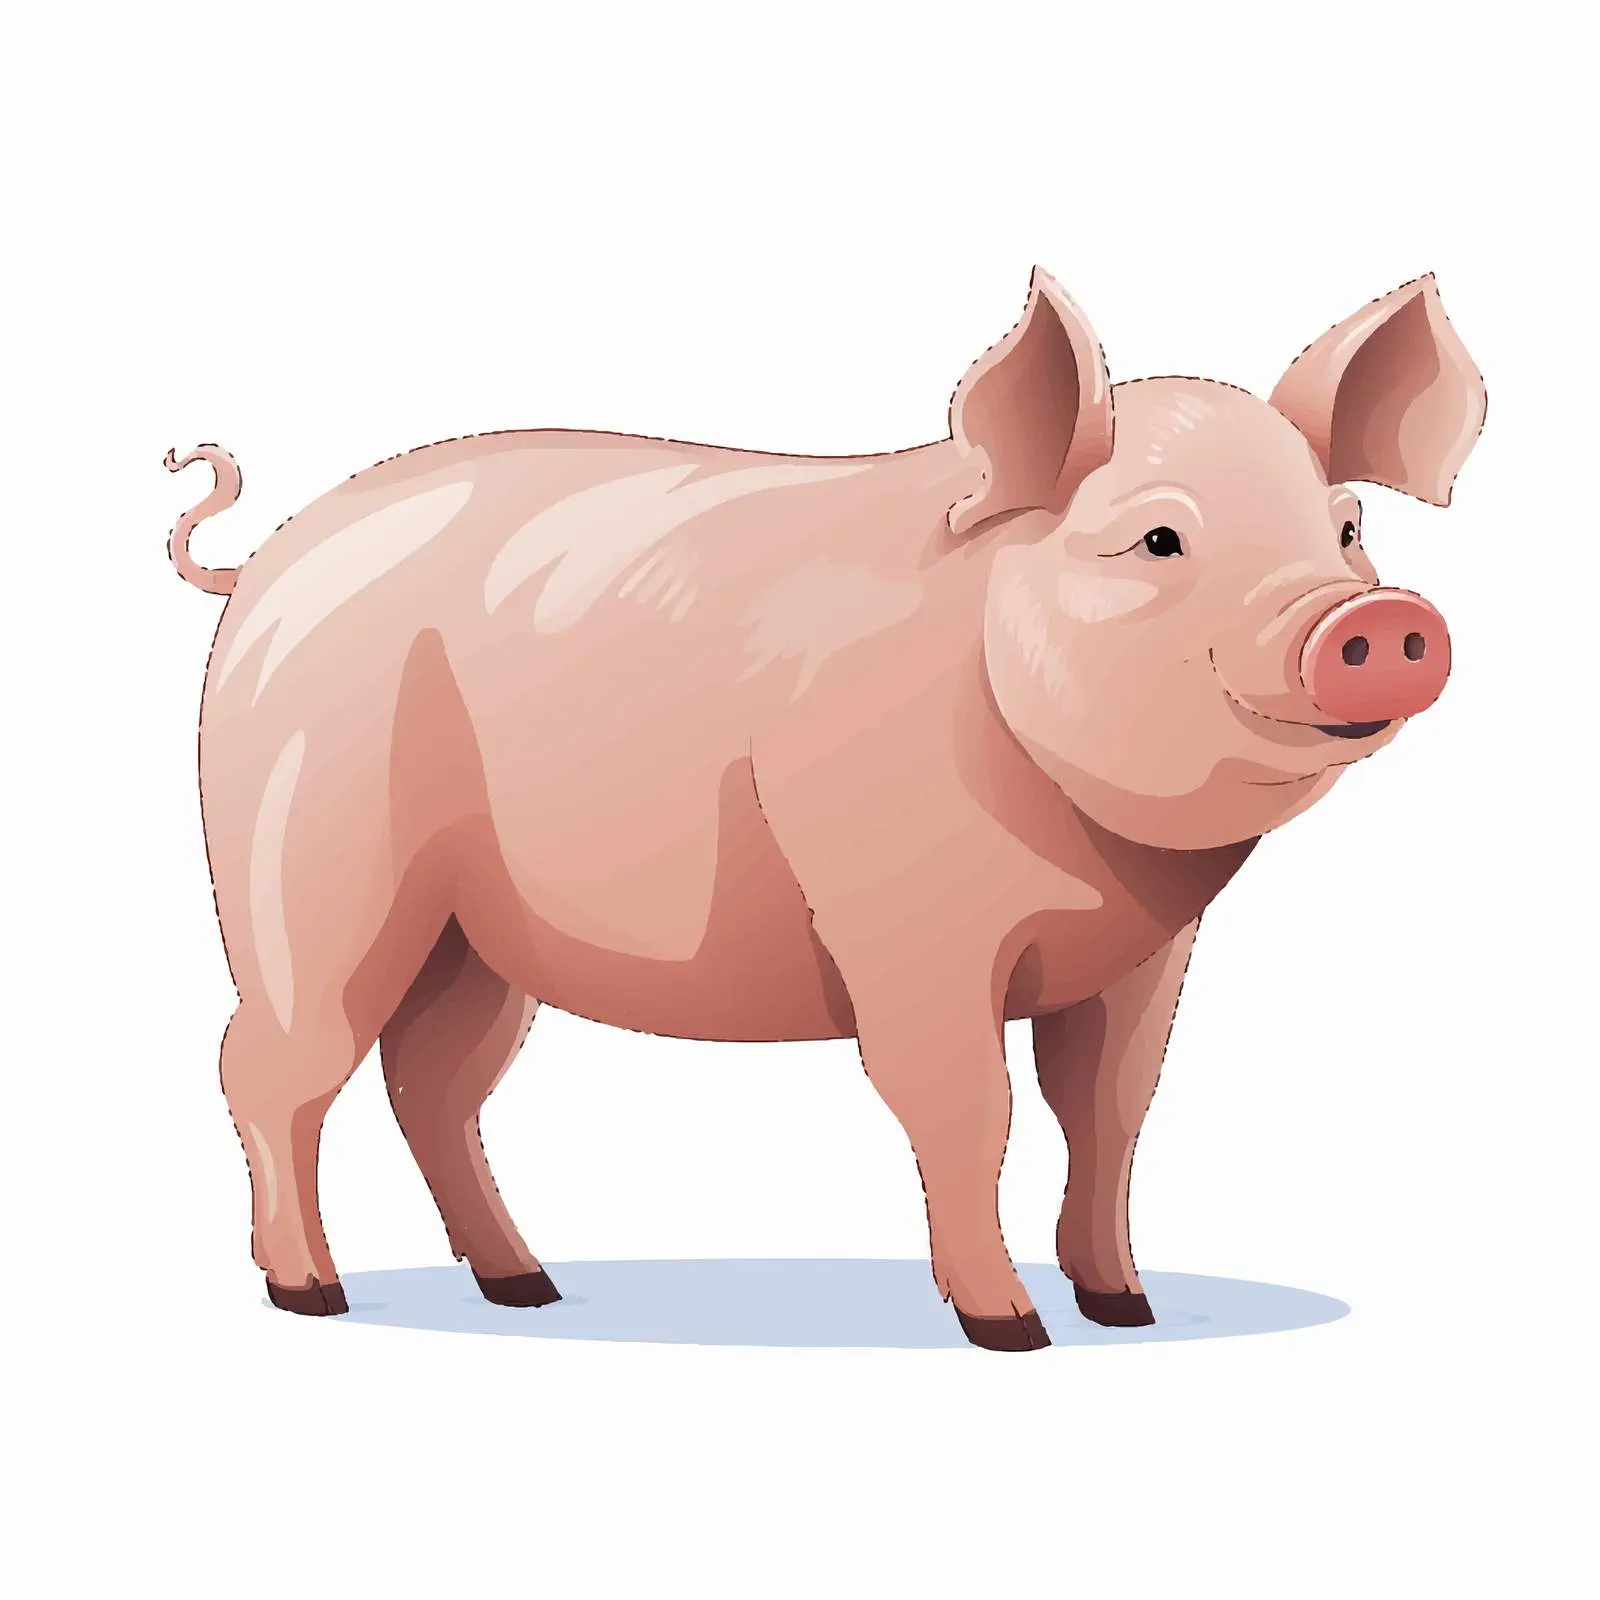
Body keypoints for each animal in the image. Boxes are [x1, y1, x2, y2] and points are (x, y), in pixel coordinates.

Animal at [166, 269, 1485, 1350]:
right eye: (1159, 539)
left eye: (1346, 530)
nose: (1374, 619)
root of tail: (259, 565)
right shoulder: (903, 931)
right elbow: (971, 1108)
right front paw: (1010, 1330)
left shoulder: (1145, 956)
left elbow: (1109, 1112)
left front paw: (1126, 1308)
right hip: (308, 857)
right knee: (269, 1062)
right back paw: (314, 1294)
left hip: (477, 935)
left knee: (432, 1084)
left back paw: (525, 1288)